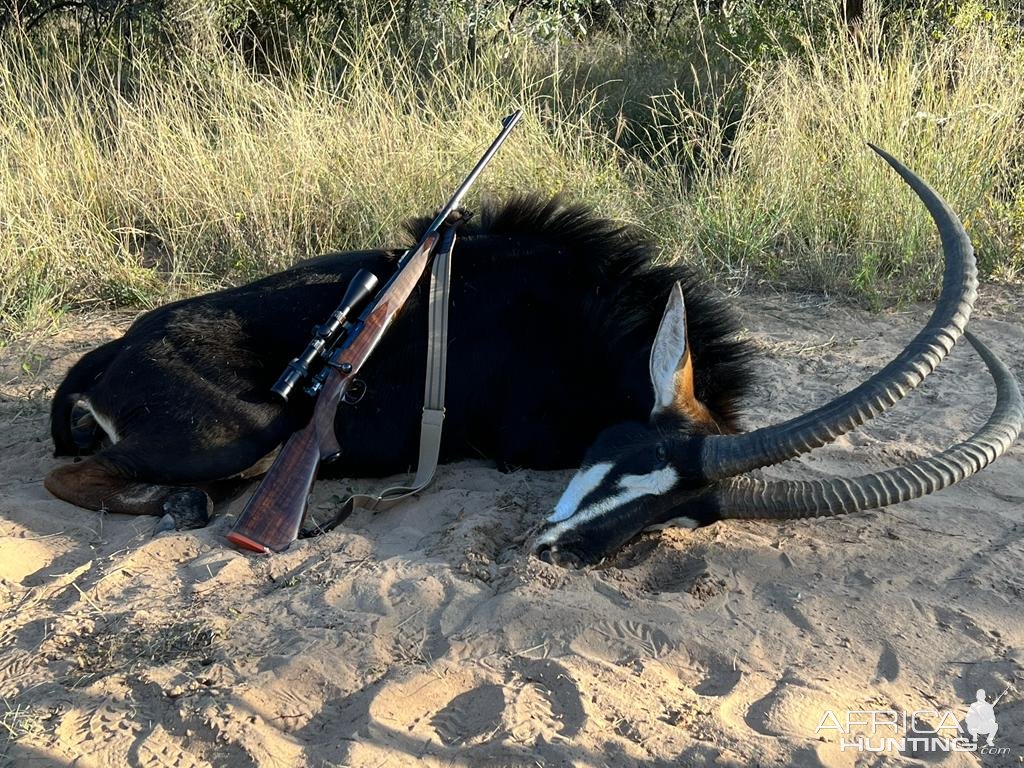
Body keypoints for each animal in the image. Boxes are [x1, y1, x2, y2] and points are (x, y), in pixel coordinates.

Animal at [48, 148, 1024, 565]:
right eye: (625, 460)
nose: (560, 550)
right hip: (245, 432)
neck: (573, 320)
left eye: (687, 516)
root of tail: (106, 357)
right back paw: (183, 503)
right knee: (78, 478)